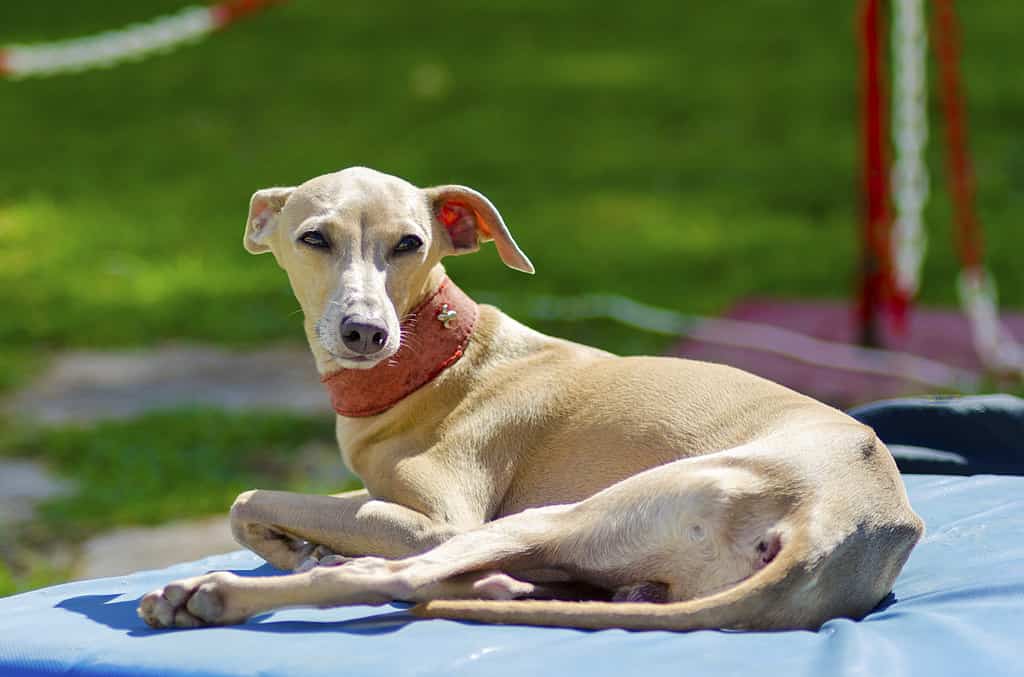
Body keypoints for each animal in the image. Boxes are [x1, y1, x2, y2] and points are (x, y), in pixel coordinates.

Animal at [134, 165, 921, 630]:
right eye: (313, 238)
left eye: (410, 242)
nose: (365, 332)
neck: (439, 363)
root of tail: (839, 526)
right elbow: (262, 507)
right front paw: (296, 545)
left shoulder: (439, 520)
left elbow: (250, 497)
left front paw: (294, 549)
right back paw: (498, 590)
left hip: (562, 514)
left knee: (393, 576)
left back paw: (208, 594)